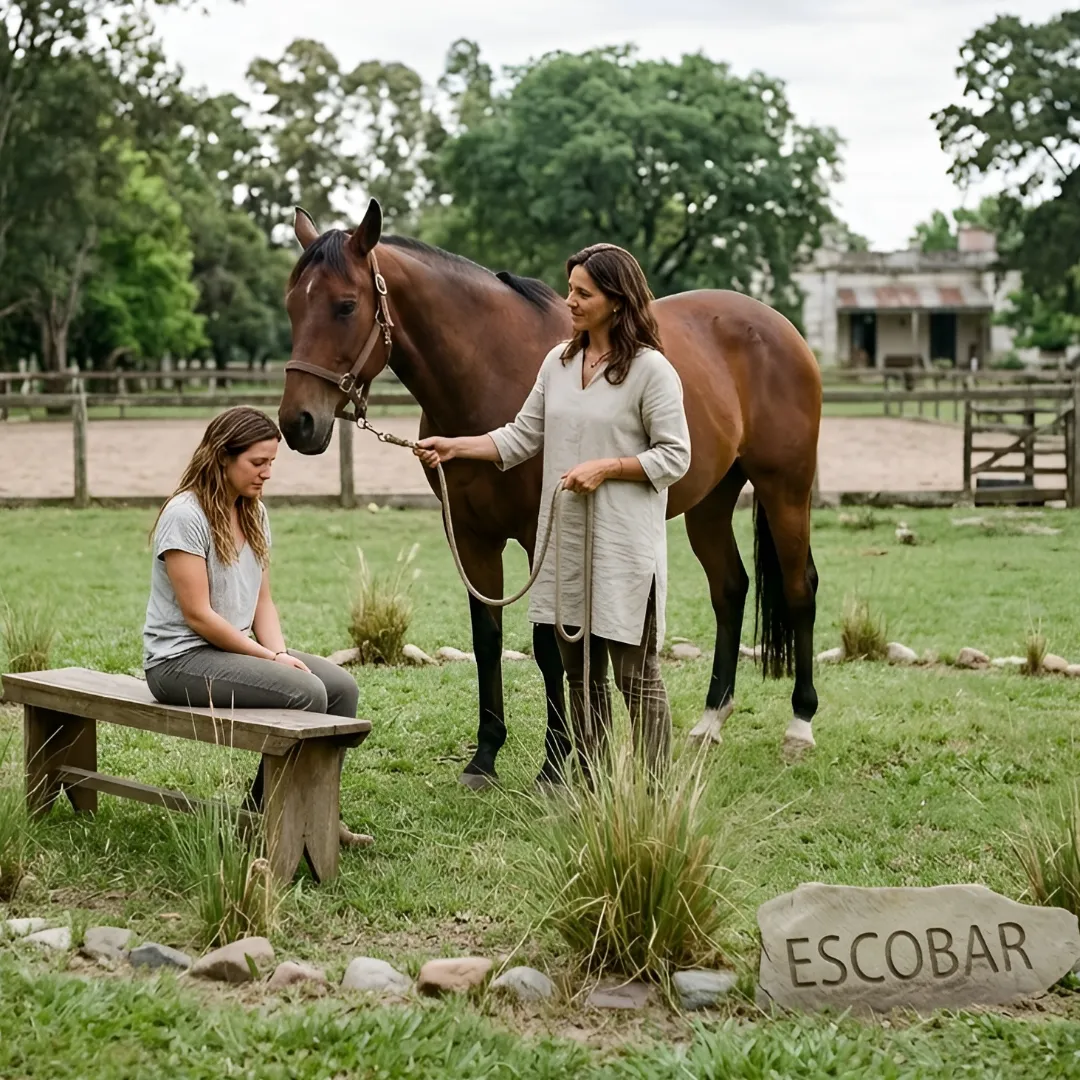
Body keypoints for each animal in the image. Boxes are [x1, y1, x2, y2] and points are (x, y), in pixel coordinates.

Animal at [278, 198, 822, 789]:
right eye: (292, 305)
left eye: (346, 305)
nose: (297, 423)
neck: (491, 369)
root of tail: (779, 326)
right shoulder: (473, 536)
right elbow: (487, 638)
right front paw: (485, 756)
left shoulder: (538, 533)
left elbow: (547, 648)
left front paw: (555, 762)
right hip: (710, 502)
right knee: (730, 588)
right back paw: (710, 722)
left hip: (785, 490)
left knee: (800, 588)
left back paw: (800, 726)